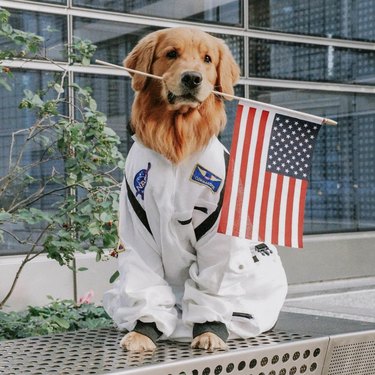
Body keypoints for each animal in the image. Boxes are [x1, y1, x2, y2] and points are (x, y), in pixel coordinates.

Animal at [104, 26, 290, 352]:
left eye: (207, 59)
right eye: (171, 54)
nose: (193, 78)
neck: (176, 141)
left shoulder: (218, 231)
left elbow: (213, 285)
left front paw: (210, 330)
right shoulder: (137, 227)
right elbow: (145, 281)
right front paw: (144, 330)